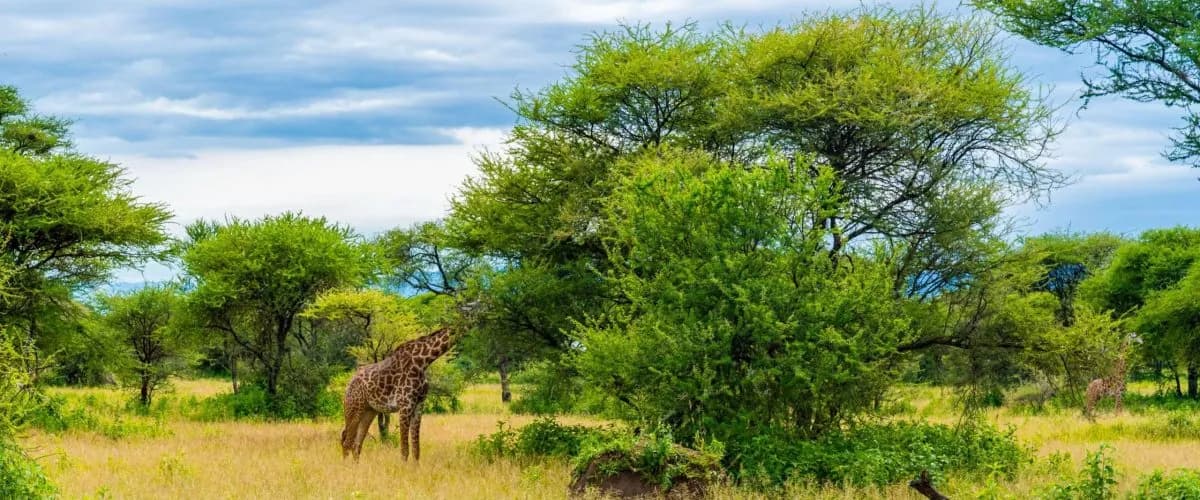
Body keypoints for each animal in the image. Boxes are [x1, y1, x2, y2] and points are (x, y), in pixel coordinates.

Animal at [340, 326, 459, 461]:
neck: (422, 362)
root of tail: (348, 384)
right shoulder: (405, 405)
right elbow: (404, 449)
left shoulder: (419, 405)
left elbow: (416, 449)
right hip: (354, 408)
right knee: (346, 441)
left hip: (369, 411)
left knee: (356, 444)